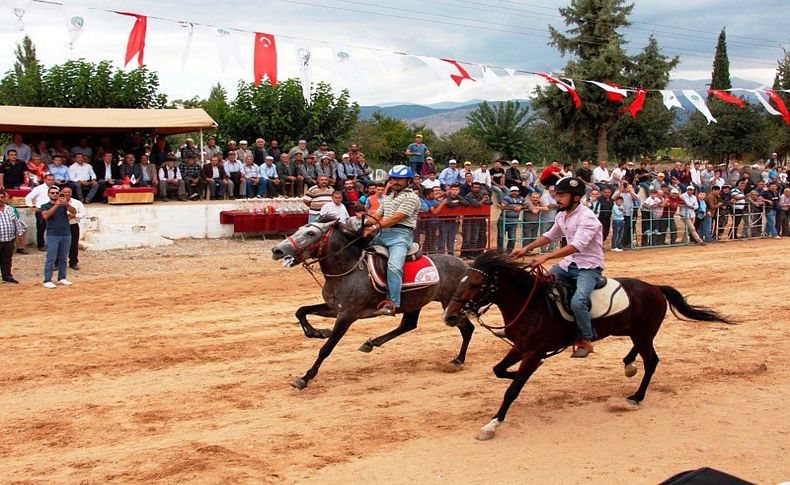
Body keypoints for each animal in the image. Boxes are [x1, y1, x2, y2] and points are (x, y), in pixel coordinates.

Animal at [270, 216, 476, 390]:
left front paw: (305, 378)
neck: (348, 271)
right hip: (416, 303)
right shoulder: (333, 308)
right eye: (299, 229)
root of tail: (466, 266)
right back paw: (371, 343)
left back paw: (458, 360)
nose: (277, 250)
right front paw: (318, 332)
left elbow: (326, 348)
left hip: (451, 306)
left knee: (468, 328)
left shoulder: (347, 316)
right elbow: (301, 311)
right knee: (408, 325)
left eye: (311, 233)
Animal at [442, 251, 732, 440]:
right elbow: (499, 370)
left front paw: (492, 424)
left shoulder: (533, 352)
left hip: (643, 333)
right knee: (644, 354)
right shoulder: (521, 348)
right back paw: (628, 365)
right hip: (634, 332)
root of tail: (655, 288)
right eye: (461, 281)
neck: (532, 304)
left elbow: (512, 390)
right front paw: (515, 376)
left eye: (477, 284)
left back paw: (636, 396)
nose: (450, 317)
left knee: (652, 361)